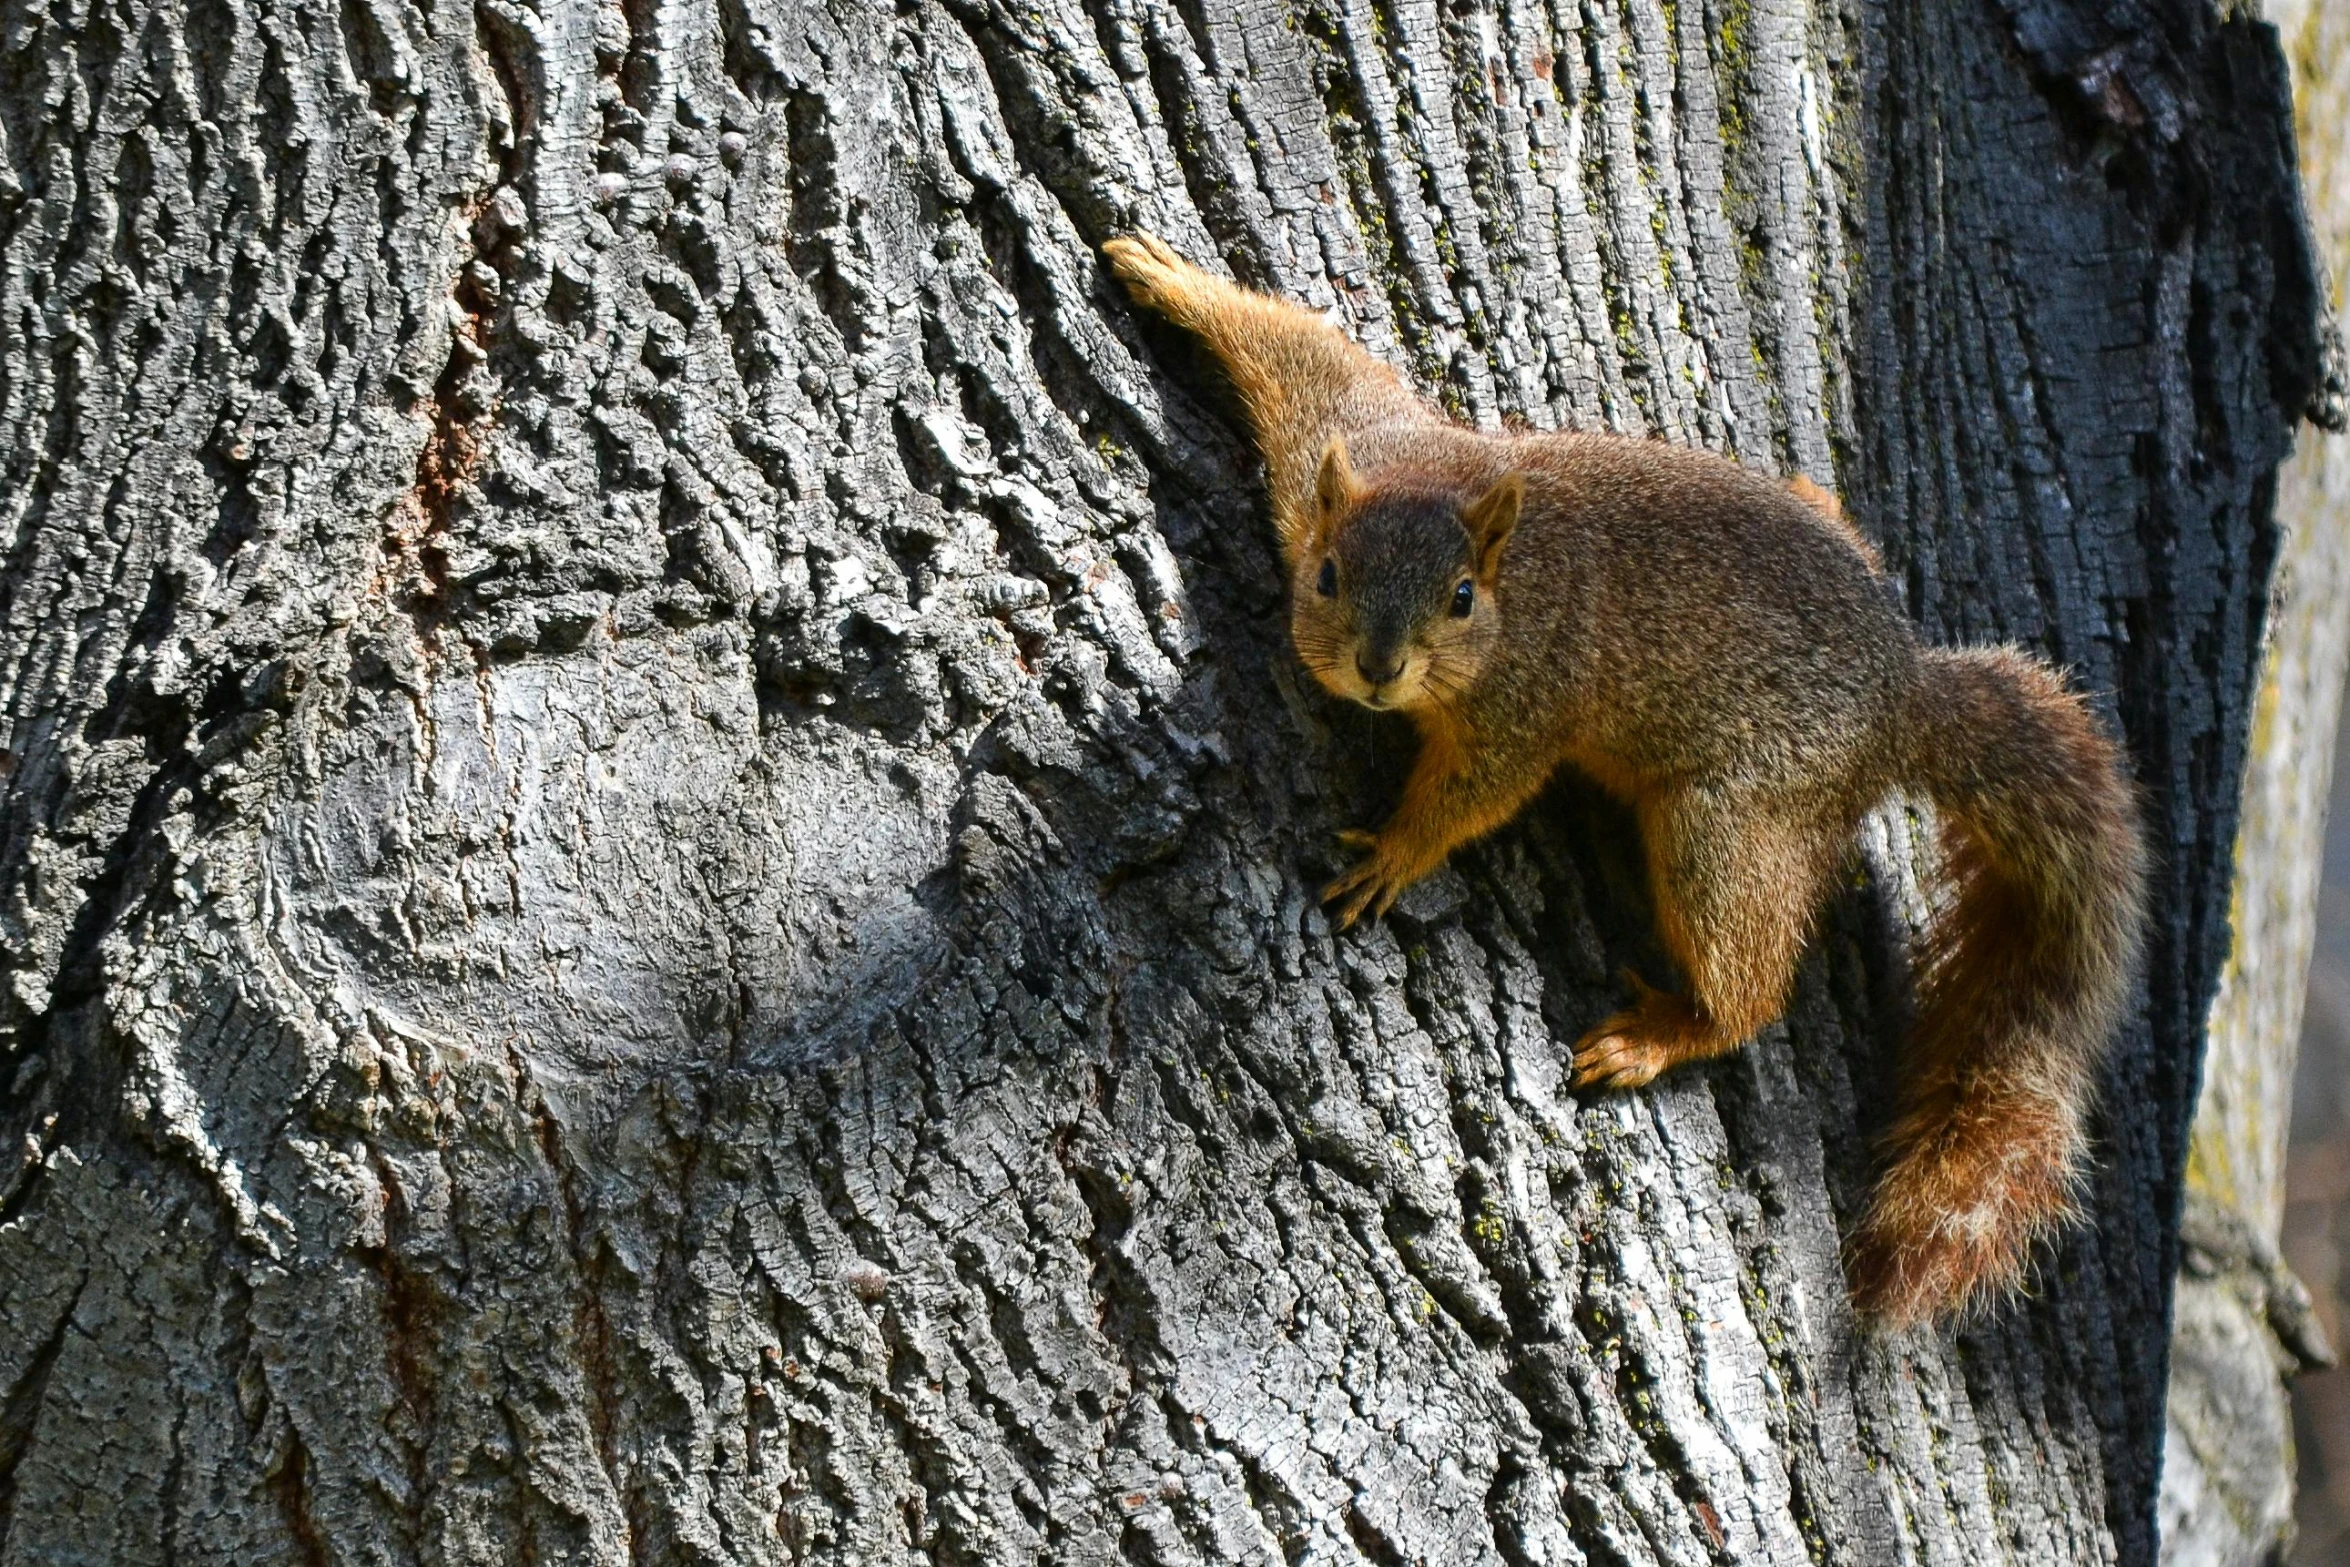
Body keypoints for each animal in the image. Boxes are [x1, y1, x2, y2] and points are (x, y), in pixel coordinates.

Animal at [1099, 226, 2152, 1325]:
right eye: (1329, 576)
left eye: (1462, 597)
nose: (1378, 669)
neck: (1510, 570)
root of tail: (1905, 699)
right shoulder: (1342, 444)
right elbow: (1302, 354)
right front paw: (1169, 277)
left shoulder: (1526, 704)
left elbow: (1478, 791)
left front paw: (1395, 851)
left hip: (1728, 822)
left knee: (1748, 976)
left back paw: (1666, 1032)